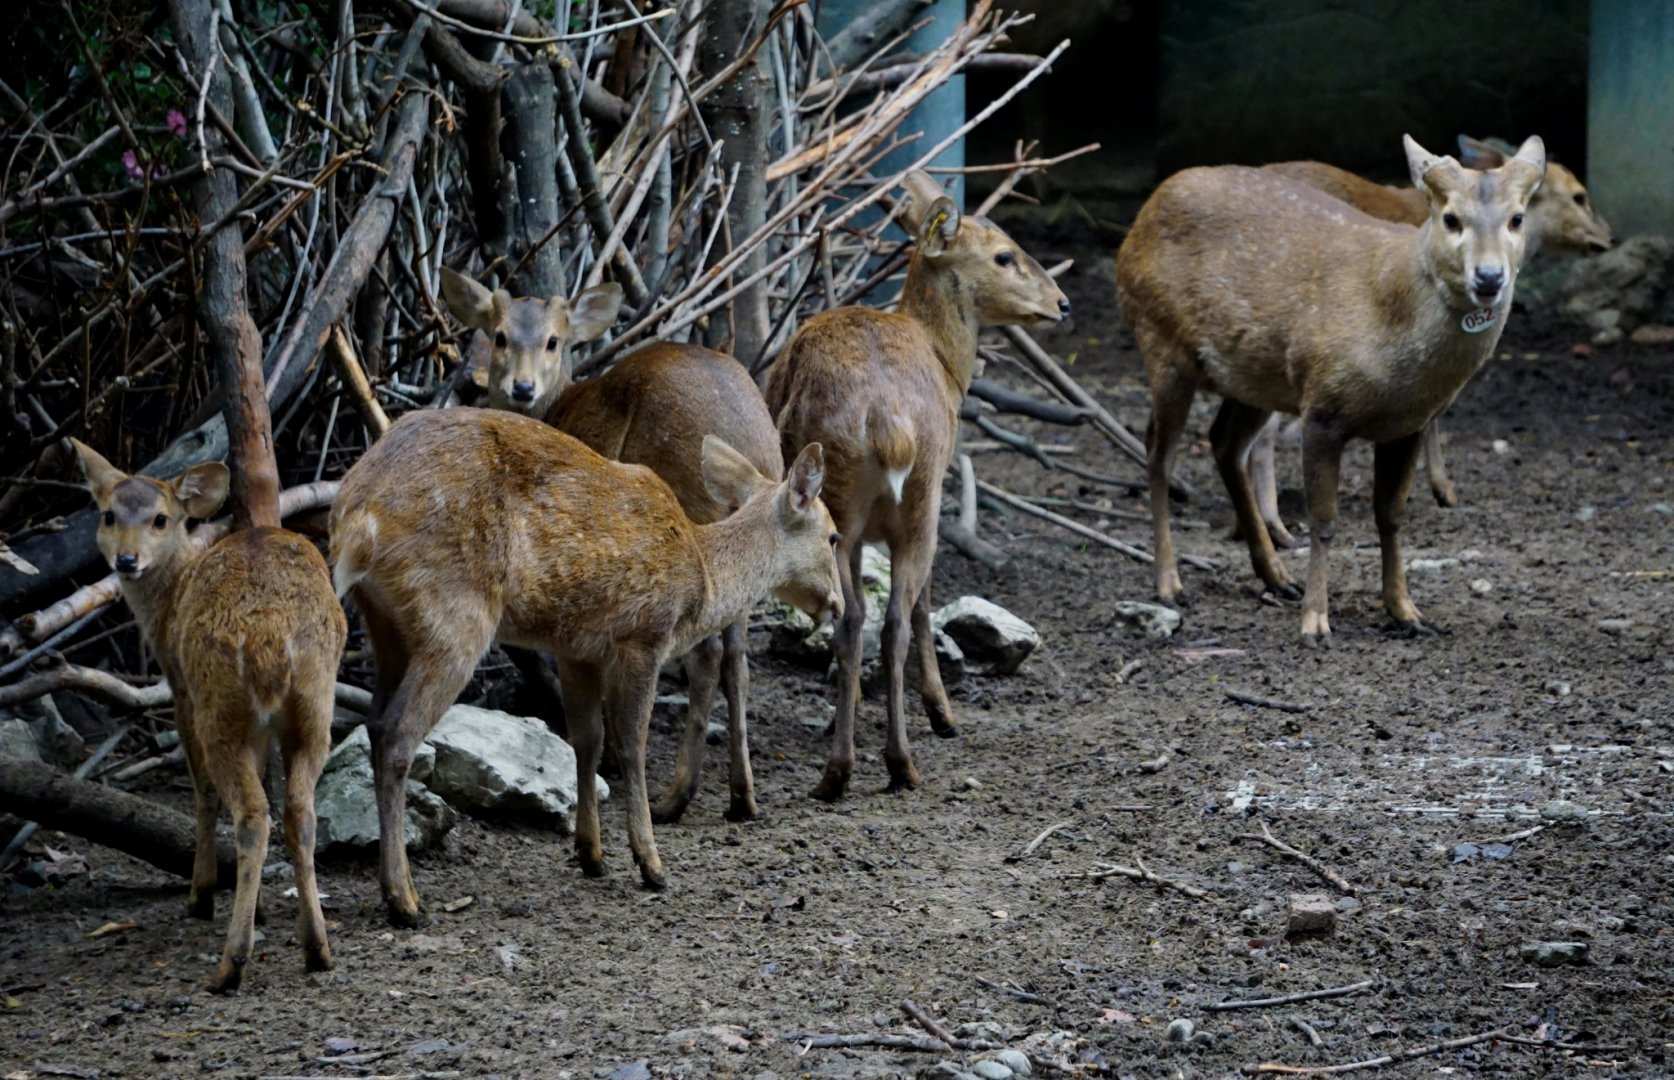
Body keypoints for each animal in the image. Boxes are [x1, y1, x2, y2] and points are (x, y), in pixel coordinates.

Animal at [69, 440, 344, 993]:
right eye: (108, 514)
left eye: (161, 519)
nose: (127, 560)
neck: (169, 600)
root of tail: (269, 640)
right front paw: (258, 905)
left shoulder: (181, 691)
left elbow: (201, 791)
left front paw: (201, 895)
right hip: (314, 704)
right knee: (299, 811)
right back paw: (316, 948)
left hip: (219, 706)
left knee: (252, 814)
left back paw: (229, 964)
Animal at [329, 407, 840, 924]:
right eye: (833, 535)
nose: (837, 604)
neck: (701, 580)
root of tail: (356, 519)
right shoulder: (644, 635)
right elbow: (631, 743)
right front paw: (651, 864)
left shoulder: (577, 649)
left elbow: (586, 741)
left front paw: (591, 855)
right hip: (454, 613)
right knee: (397, 734)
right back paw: (404, 899)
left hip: (386, 626)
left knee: (374, 723)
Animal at [764, 169, 1069, 800]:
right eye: (1004, 255)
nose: (1062, 302)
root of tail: (888, 421)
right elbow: (928, 601)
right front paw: (941, 712)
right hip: (912, 491)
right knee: (891, 617)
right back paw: (889, 759)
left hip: (854, 509)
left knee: (862, 619)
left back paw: (854, 765)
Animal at [1116, 134, 1546, 644]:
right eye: (1450, 218)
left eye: (1517, 217)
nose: (1489, 277)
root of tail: (1137, 223)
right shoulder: (1322, 404)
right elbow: (1324, 521)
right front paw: (1316, 621)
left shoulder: (1408, 423)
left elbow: (1391, 516)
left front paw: (1406, 612)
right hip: (1160, 342)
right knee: (1158, 453)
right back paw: (1169, 582)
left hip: (1254, 375)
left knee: (1224, 443)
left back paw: (1276, 577)